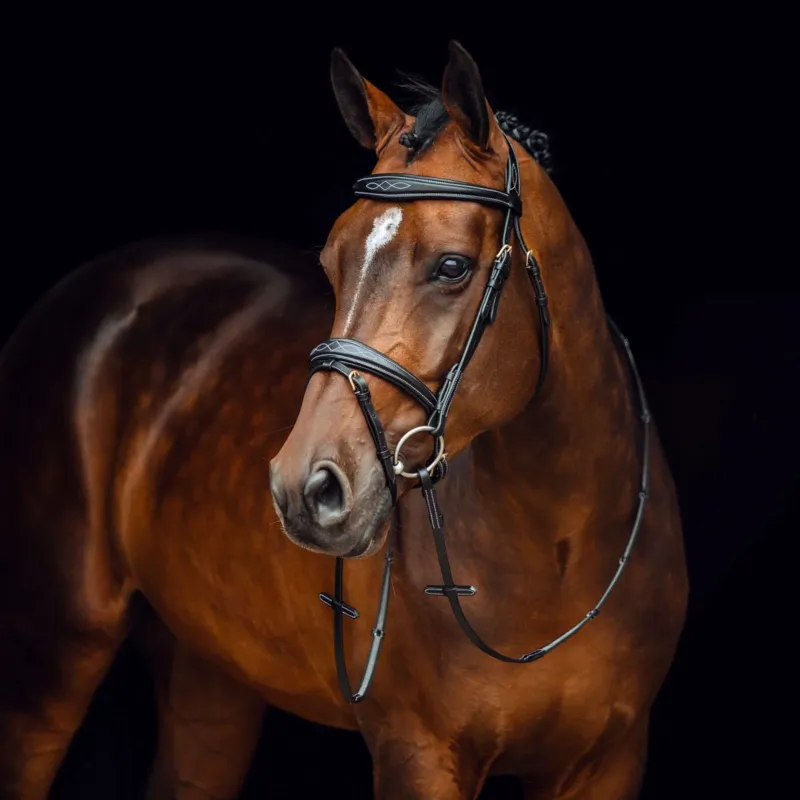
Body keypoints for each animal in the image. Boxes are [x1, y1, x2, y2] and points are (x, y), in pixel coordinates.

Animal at [0, 42, 687, 800]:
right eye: (333, 261)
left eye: (453, 265)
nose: (305, 487)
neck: (559, 553)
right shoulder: (417, 755)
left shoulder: (609, 761)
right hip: (56, 656)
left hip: (209, 674)